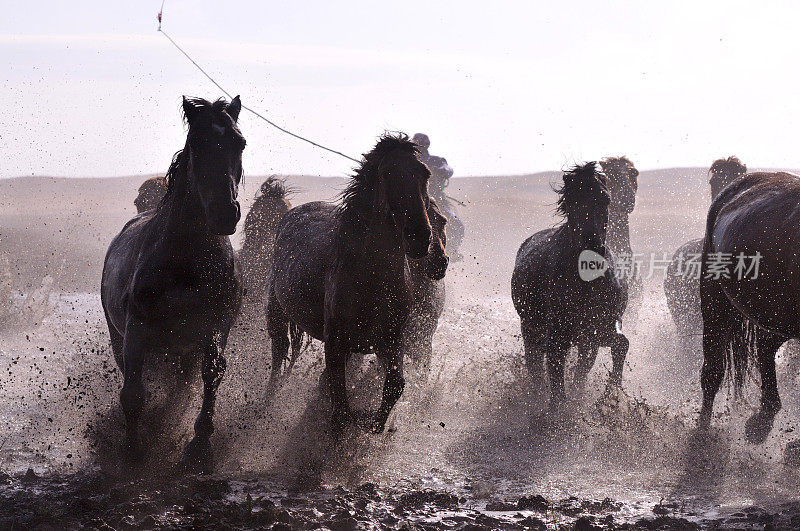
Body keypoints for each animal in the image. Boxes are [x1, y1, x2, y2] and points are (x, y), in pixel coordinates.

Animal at [101, 96, 244, 474]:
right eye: (197, 143)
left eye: (240, 143)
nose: (225, 212)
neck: (186, 260)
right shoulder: (136, 332)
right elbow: (133, 392)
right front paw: (133, 450)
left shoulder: (214, 326)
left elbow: (212, 374)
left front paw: (200, 447)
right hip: (119, 337)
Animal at [266, 134, 432, 436]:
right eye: (387, 174)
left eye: (424, 173)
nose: (420, 237)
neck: (371, 278)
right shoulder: (335, 343)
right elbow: (340, 405)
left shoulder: (390, 340)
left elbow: (394, 385)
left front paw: (373, 425)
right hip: (276, 314)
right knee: (278, 358)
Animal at [512, 162, 632, 408]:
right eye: (572, 200)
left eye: (605, 198)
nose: (592, 249)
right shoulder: (558, 333)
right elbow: (555, 373)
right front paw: (558, 409)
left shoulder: (601, 327)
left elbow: (620, 344)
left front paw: (611, 397)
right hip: (530, 326)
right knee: (534, 363)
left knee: (582, 364)